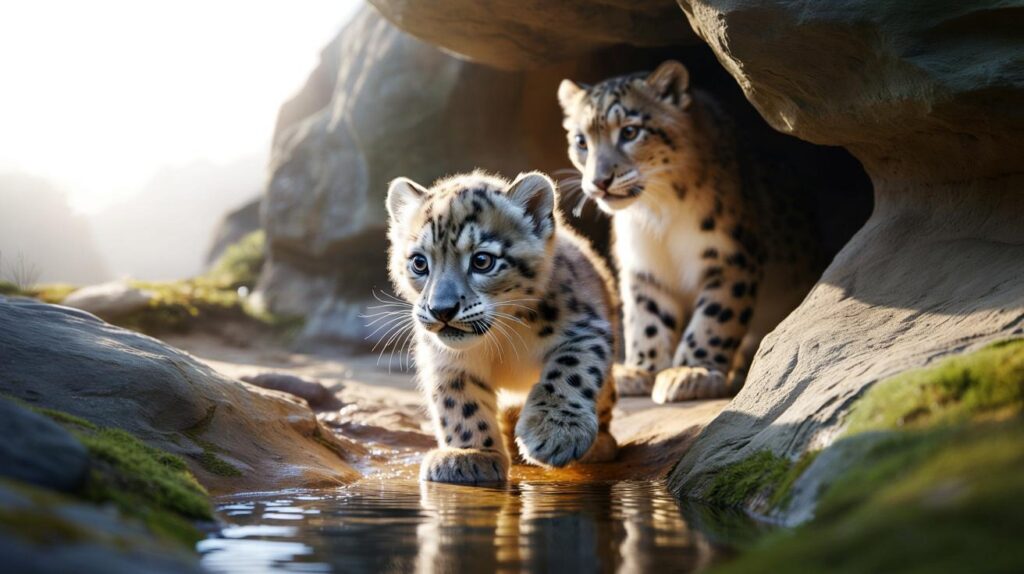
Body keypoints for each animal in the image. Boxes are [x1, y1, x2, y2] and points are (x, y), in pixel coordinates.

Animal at [385, 170, 619, 484]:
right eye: (419, 262)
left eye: (482, 260)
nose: (442, 309)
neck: (502, 340)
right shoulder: (446, 360)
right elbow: (459, 402)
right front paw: (470, 455)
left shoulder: (584, 329)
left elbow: (570, 372)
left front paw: (555, 431)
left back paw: (599, 445)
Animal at [557, 60, 822, 403]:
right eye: (581, 141)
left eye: (630, 131)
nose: (599, 181)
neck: (657, 215)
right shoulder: (644, 267)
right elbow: (646, 320)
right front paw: (641, 371)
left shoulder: (729, 258)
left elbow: (714, 319)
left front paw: (691, 371)